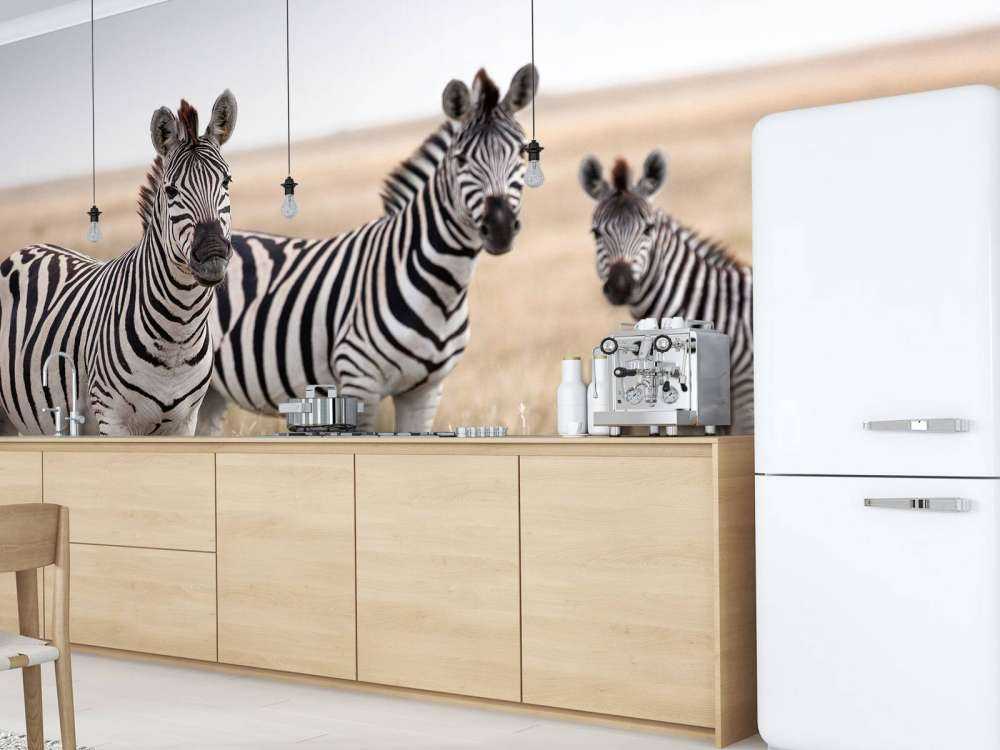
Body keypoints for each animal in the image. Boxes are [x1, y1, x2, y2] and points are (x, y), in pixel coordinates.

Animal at [0, 91, 238, 436]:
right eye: (171, 190)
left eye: (227, 181)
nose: (213, 254)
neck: (178, 335)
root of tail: (25, 248)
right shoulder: (111, 418)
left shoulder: (186, 422)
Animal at [198, 65, 538, 435]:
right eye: (461, 160)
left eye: (522, 153)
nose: (500, 227)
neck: (443, 287)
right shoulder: (359, 380)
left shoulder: (425, 390)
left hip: (210, 392)